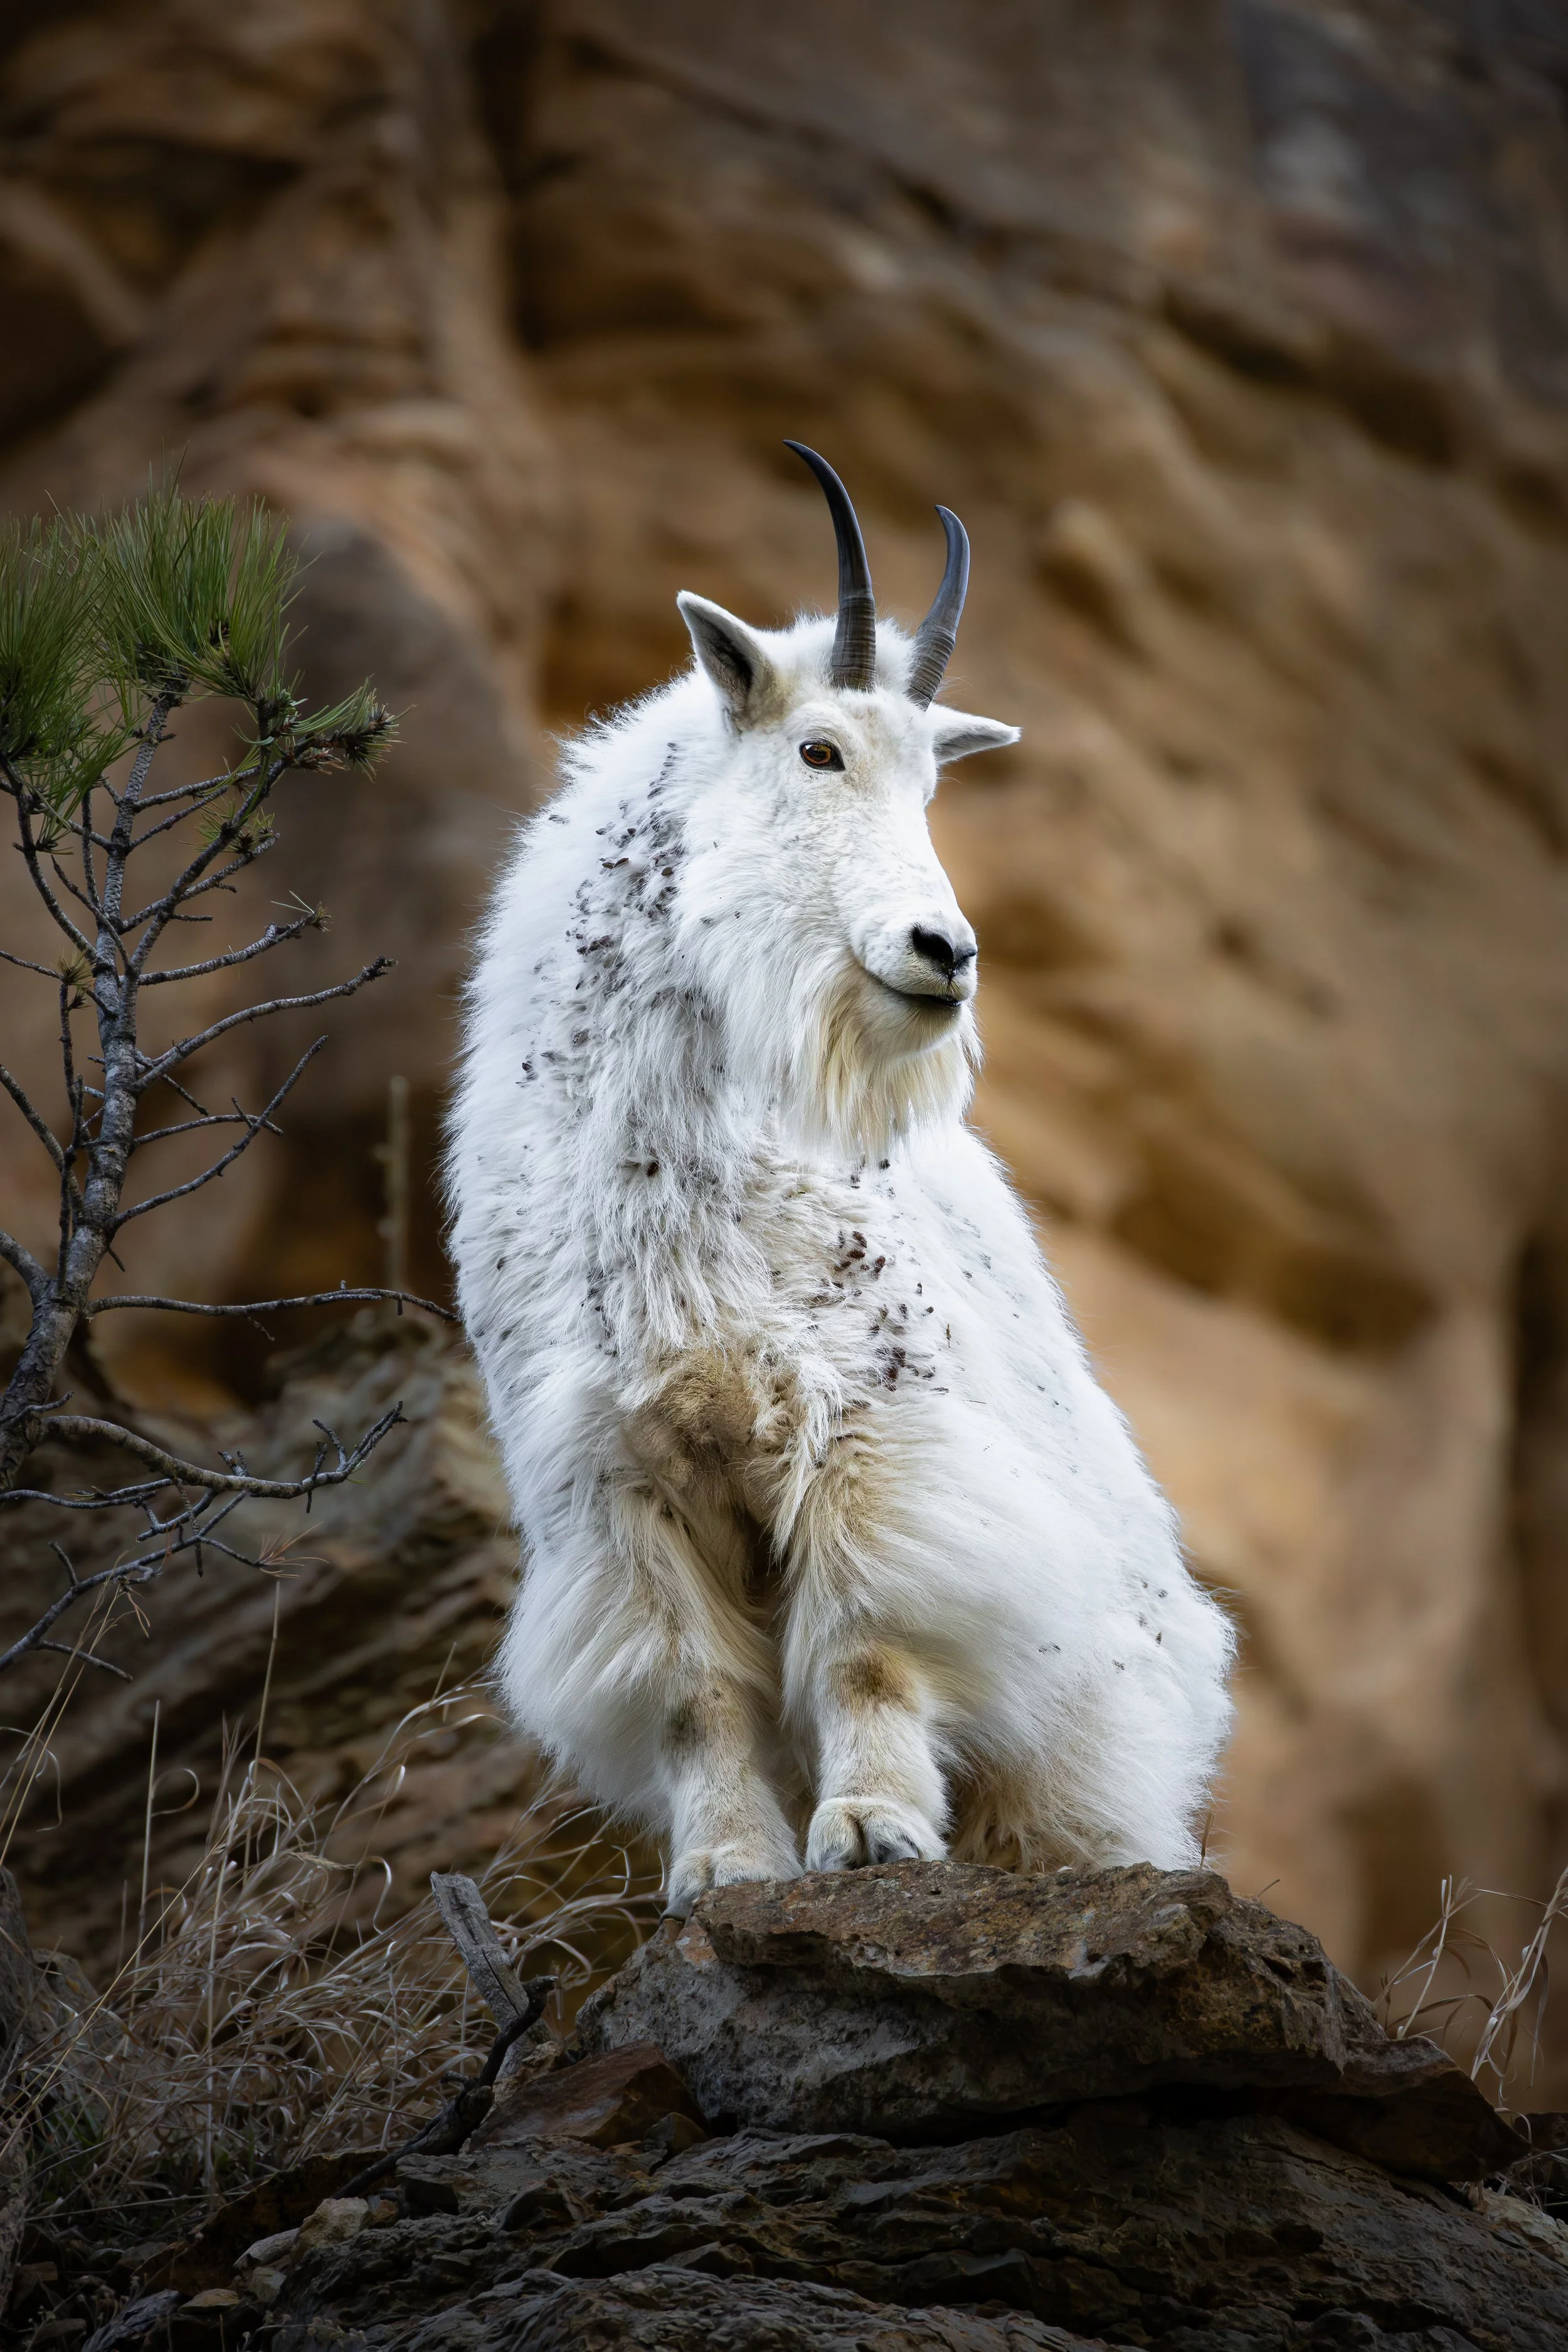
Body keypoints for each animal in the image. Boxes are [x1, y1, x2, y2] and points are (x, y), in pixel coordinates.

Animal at [447, 444, 1234, 1912]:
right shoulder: (617, 1490)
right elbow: (695, 1693)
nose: (945, 952)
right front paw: (724, 1870)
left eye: (929, 790)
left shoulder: (871, 1425)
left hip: (1096, 1734)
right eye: (818, 750)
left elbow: (869, 1641)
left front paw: (871, 1831)